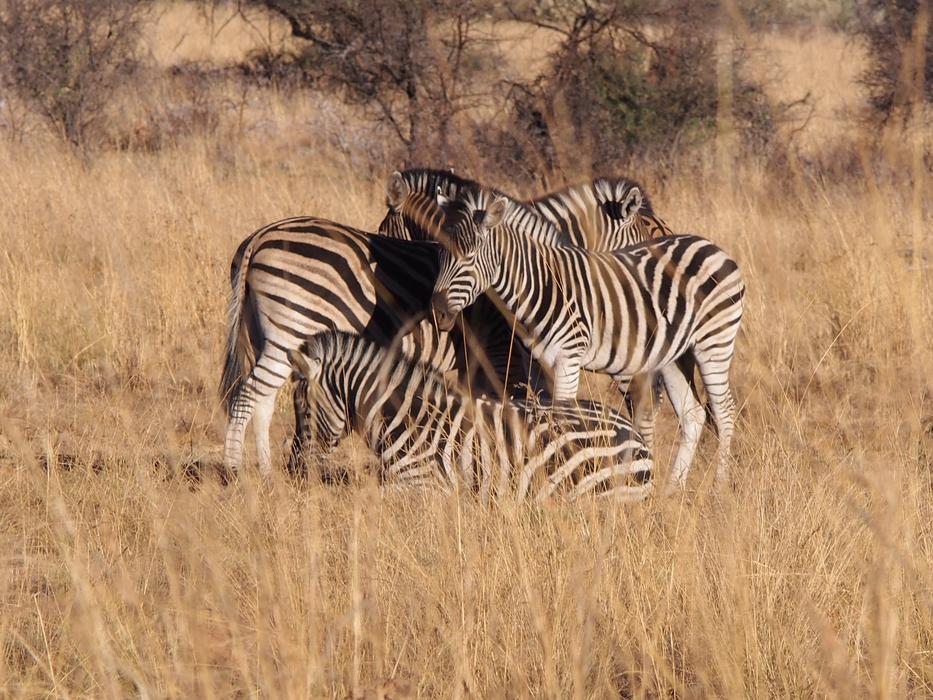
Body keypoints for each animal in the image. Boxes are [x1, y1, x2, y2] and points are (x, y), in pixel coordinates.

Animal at [413, 189, 744, 488]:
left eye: (468, 257)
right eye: (439, 253)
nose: (437, 312)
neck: (540, 284)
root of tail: (710, 245)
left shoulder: (568, 358)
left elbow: (563, 418)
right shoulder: (536, 365)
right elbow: (539, 416)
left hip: (714, 341)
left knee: (724, 411)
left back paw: (719, 487)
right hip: (676, 354)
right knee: (693, 415)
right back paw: (673, 490)